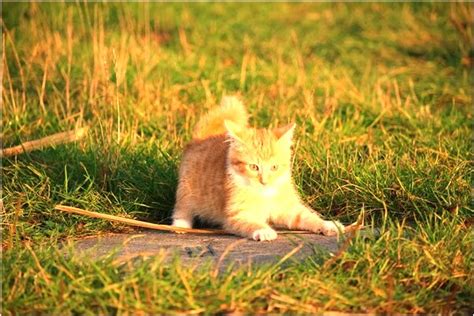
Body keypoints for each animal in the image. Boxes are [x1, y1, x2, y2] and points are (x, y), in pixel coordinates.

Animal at [172, 97, 346, 241]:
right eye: (253, 167)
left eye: (274, 167)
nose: (264, 181)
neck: (264, 194)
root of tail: (201, 138)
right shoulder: (237, 215)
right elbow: (250, 223)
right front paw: (263, 230)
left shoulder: (287, 208)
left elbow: (306, 217)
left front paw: (328, 224)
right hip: (186, 188)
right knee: (182, 208)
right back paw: (180, 226)